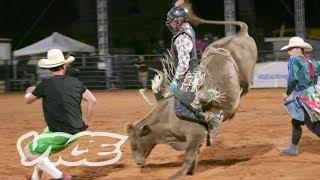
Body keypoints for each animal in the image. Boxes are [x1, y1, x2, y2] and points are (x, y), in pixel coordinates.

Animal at [126, 18, 256, 179]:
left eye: (135, 145)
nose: (138, 163)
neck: (167, 118)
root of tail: (241, 34)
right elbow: (192, 154)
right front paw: (190, 170)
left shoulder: (196, 134)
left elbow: (188, 155)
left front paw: (178, 174)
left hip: (245, 75)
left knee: (245, 86)